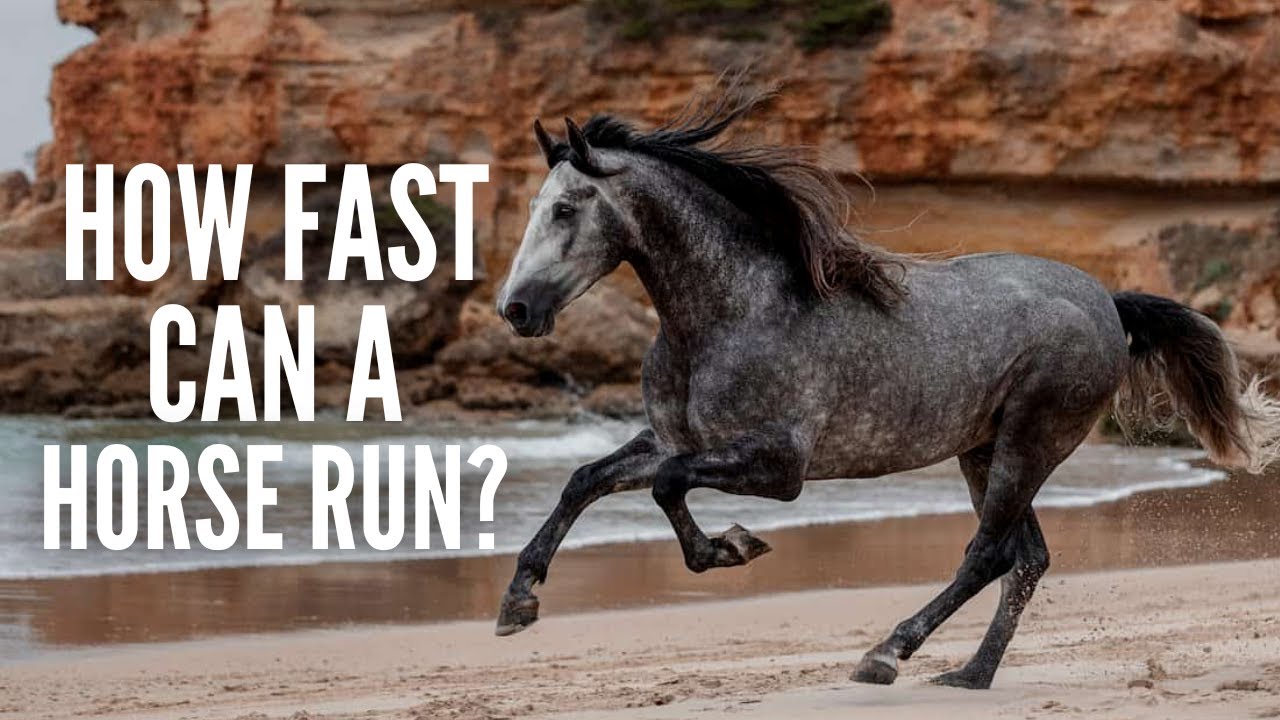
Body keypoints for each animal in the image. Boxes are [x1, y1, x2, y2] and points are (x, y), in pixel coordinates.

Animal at [490, 85, 1280, 689]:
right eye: (534, 207)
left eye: (566, 208)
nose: (516, 309)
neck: (729, 312)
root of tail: (1107, 303)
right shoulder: (674, 437)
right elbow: (588, 479)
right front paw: (518, 602)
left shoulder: (779, 466)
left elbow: (666, 487)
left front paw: (732, 548)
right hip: (983, 450)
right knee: (1024, 560)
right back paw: (969, 676)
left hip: (1029, 443)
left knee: (988, 554)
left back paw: (887, 654)